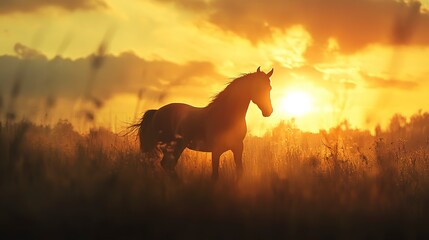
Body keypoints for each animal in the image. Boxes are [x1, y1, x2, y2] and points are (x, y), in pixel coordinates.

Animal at [135, 66, 272, 179]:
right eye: (258, 87)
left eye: (269, 88)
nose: (268, 111)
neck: (226, 114)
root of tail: (156, 112)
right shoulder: (216, 151)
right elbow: (215, 175)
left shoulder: (238, 148)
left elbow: (239, 172)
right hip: (173, 147)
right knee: (167, 165)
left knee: (168, 165)